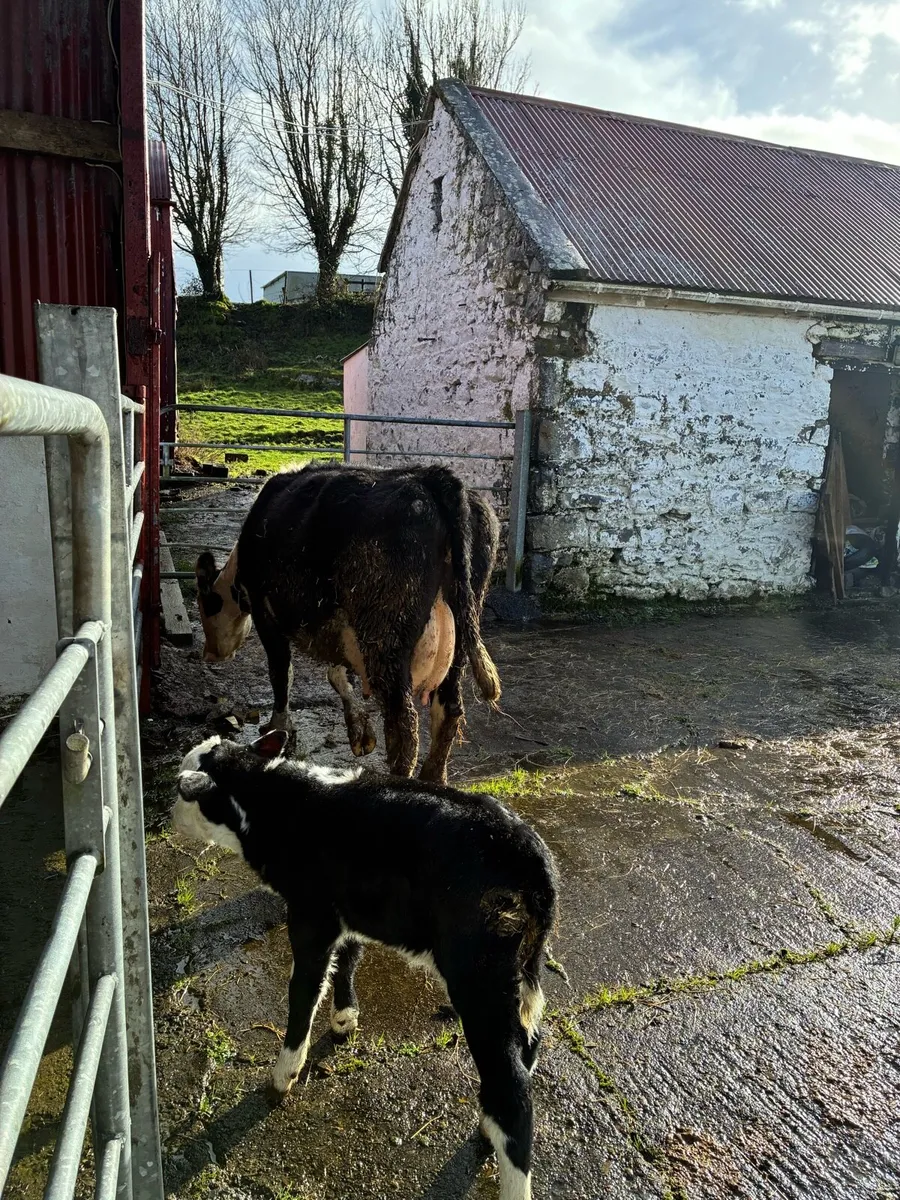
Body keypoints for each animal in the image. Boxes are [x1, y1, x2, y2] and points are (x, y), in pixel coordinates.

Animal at [173, 728, 558, 1200]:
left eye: (185, 789)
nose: (169, 816)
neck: (280, 804)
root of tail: (525, 848)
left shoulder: (311, 917)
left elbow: (303, 993)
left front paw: (283, 1075)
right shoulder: (349, 914)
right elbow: (349, 958)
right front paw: (344, 1018)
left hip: (480, 979)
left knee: (513, 1091)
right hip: (519, 975)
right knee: (529, 1045)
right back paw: (487, 1125)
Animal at [195, 462, 501, 781]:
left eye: (205, 605)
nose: (209, 653)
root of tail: (430, 476)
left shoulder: (265, 613)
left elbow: (281, 674)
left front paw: (278, 727)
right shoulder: (339, 627)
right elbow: (337, 674)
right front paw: (360, 733)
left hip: (385, 641)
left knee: (404, 728)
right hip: (460, 636)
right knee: (449, 709)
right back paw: (433, 777)